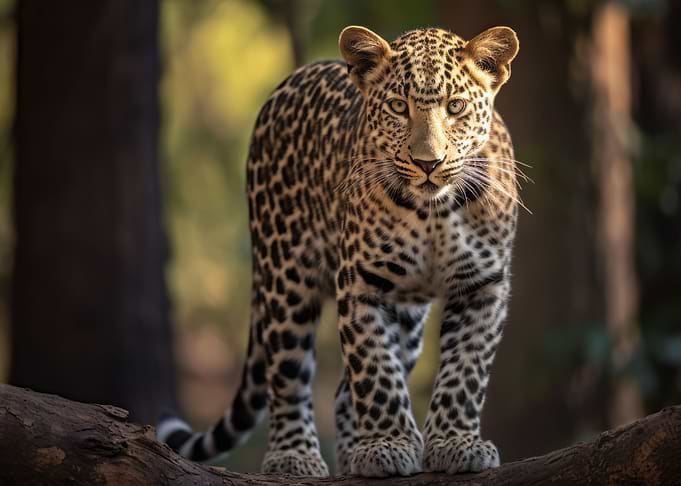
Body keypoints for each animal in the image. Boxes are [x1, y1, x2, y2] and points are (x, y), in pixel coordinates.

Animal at [157, 24, 521, 478]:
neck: (434, 211)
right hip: (285, 276)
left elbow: (465, 371)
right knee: (288, 373)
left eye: (456, 107)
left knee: (346, 389)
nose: (428, 163)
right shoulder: (361, 283)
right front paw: (387, 443)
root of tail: (293, 78)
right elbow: (375, 370)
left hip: (406, 314)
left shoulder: (482, 286)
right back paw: (294, 456)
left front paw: (455, 443)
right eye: (398, 107)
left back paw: (352, 455)